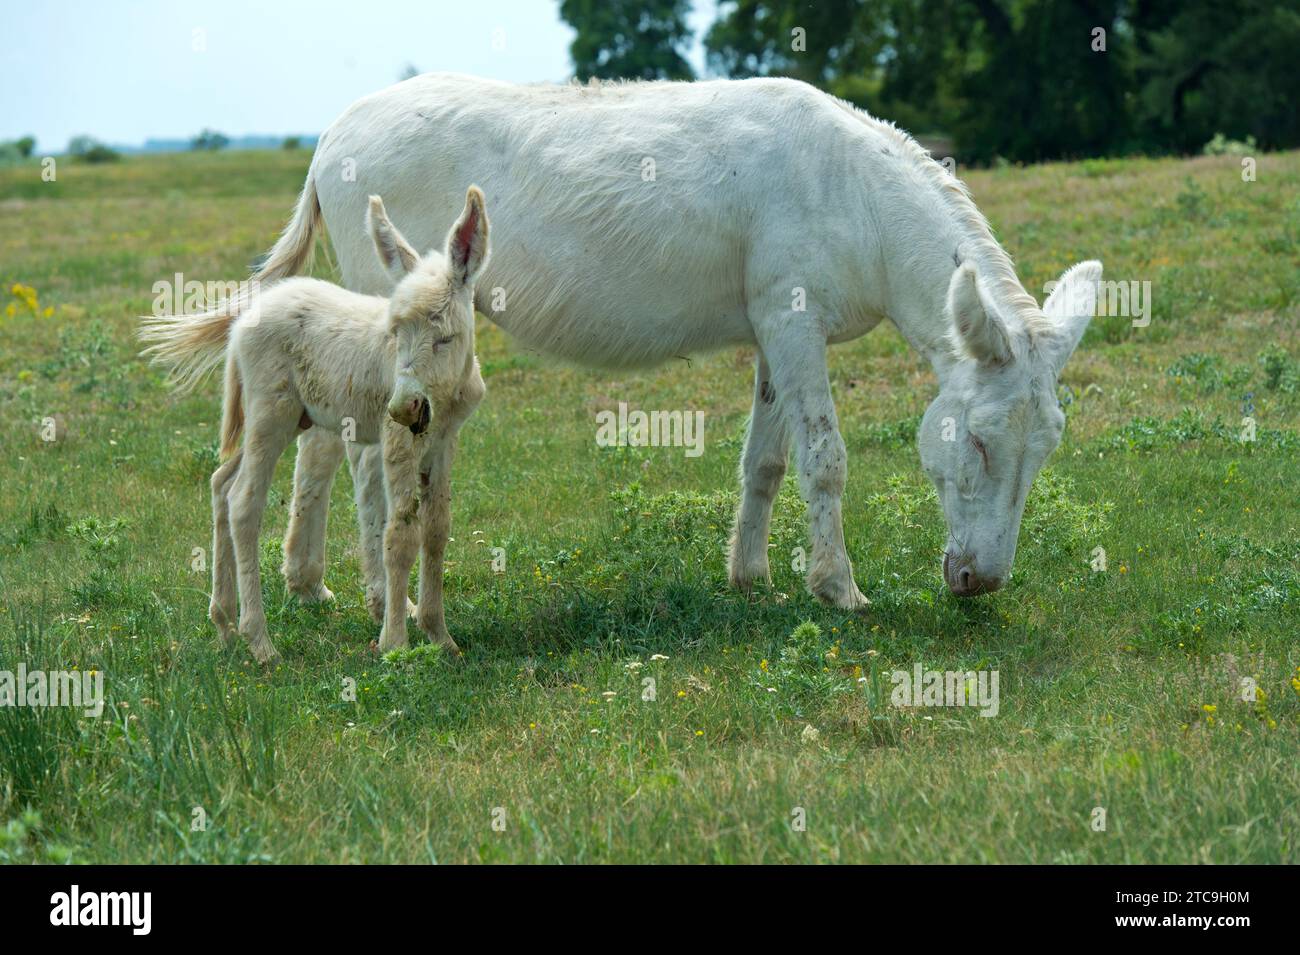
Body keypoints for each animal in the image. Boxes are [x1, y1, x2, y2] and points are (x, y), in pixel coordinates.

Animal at [141, 187, 488, 665]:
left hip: (282, 419)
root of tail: (243, 321)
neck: (445, 395)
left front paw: (441, 637)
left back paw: (224, 625)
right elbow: (400, 534)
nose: (404, 407)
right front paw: (395, 644)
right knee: (243, 501)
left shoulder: (443, 440)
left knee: (221, 483)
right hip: (273, 413)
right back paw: (260, 642)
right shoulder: (396, 441)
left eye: (445, 338)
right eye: (396, 332)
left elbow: (436, 531)